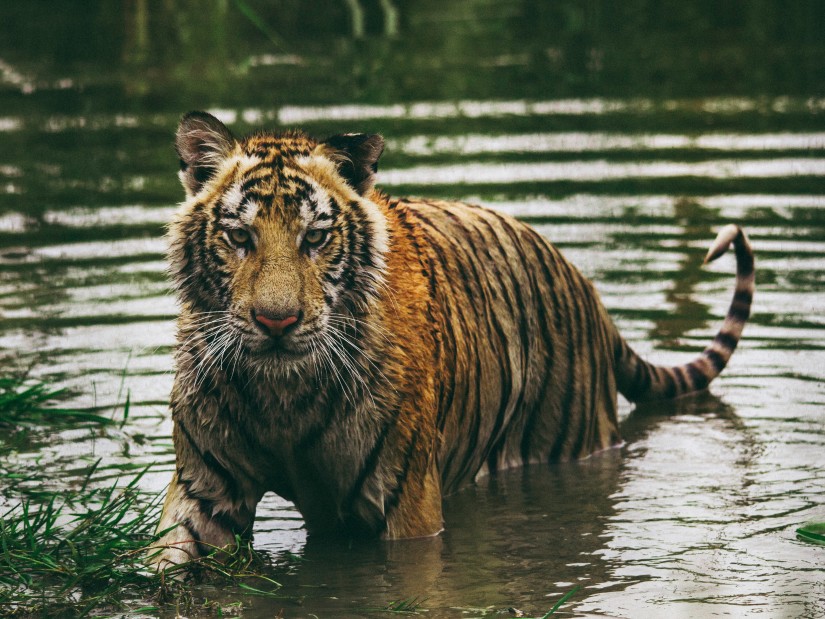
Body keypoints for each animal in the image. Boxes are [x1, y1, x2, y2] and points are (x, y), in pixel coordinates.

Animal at [148, 112, 752, 572]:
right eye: (239, 236)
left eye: (315, 238)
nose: (277, 322)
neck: (282, 396)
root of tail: (588, 291)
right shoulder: (206, 490)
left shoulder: (405, 503)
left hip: (571, 443)